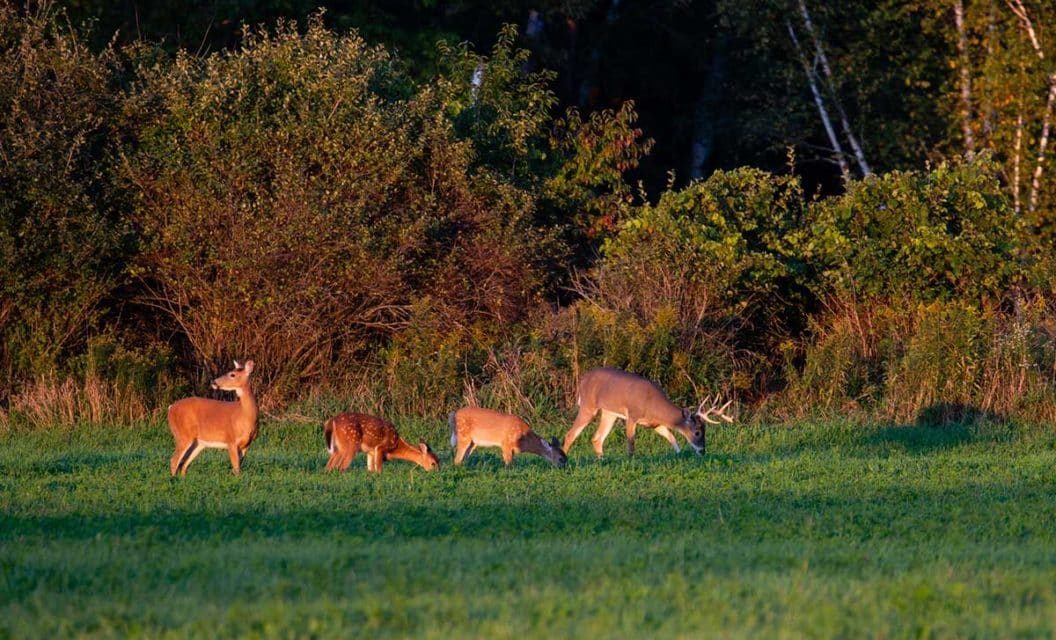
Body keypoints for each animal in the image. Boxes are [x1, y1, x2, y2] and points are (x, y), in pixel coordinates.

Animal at [561, 369, 734, 458]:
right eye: (697, 432)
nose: (702, 451)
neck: (653, 404)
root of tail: (582, 380)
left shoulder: (655, 424)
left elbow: (671, 437)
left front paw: (679, 454)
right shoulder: (632, 415)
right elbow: (631, 443)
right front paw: (631, 461)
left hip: (609, 413)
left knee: (597, 438)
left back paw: (602, 460)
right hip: (588, 406)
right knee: (570, 434)